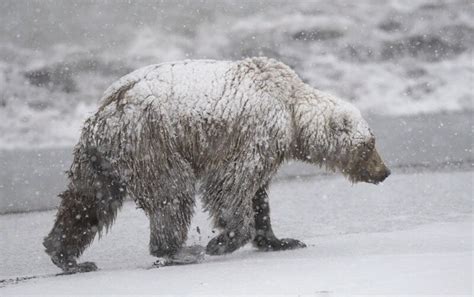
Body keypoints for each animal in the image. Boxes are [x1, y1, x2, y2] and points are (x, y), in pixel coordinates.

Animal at [43, 56, 388, 272]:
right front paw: (220, 241)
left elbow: (258, 195)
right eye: (369, 145)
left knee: (87, 200)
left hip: (100, 157)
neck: (291, 112)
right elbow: (231, 184)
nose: (384, 172)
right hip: (152, 141)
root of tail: (107, 109)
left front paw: (282, 240)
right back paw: (179, 250)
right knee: (172, 192)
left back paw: (67, 256)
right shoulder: (255, 133)